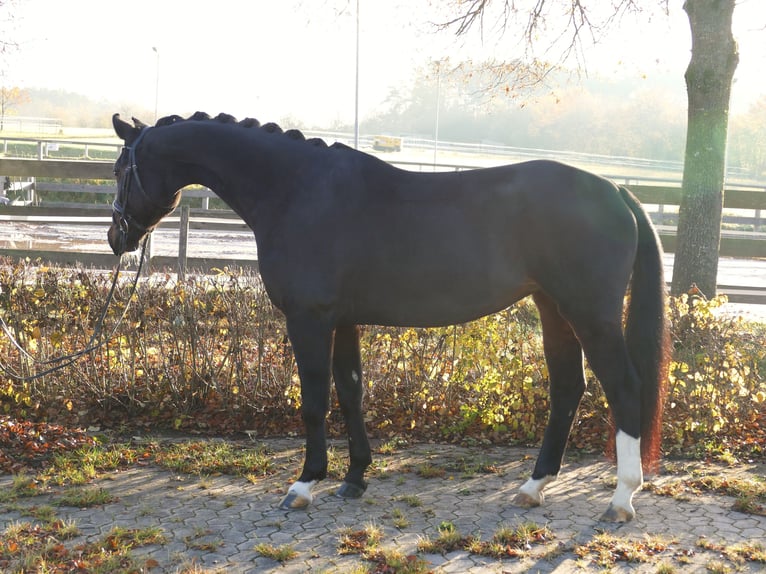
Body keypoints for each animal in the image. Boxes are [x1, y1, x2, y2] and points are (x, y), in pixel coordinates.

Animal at [109, 111, 669, 522]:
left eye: (119, 169)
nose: (116, 238)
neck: (297, 191)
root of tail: (616, 191)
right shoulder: (343, 320)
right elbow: (351, 391)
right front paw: (355, 478)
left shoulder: (309, 320)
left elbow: (314, 400)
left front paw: (305, 484)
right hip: (553, 310)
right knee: (568, 388)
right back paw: (534, 487)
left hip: (590, 315)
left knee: (623, 388)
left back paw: (621, 498)